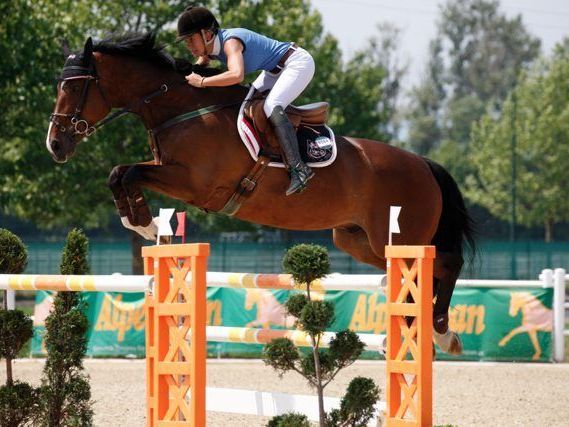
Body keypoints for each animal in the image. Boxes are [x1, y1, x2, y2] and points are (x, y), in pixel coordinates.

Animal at [45, 33, 474, 356]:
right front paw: (142, 222)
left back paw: (440, 330)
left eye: (74, 87)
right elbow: (120, 174)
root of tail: (424, 164)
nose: (55, 145)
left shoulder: (195, 184)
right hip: (359, 240)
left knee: (447, 263)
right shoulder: (171, 173)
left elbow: (128, 172)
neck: (179, 110)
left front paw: (143, 222)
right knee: (421, 271)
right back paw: (426, 332)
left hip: (403, 234)